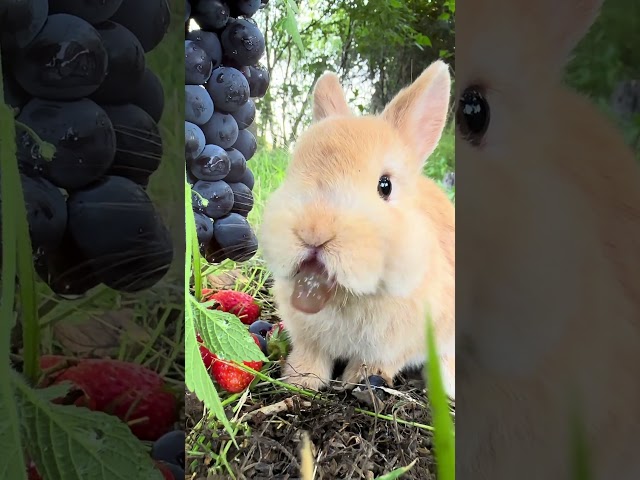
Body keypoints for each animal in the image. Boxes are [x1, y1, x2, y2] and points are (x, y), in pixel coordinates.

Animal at [258, 60, 458, 398]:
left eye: (385, 186)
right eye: (293, 170)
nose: (314, 230)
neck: (348, 295)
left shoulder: (400, 344)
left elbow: (377, 363)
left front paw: (356, 382)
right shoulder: (307, 337)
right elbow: (311, 356)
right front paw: (300, 382)